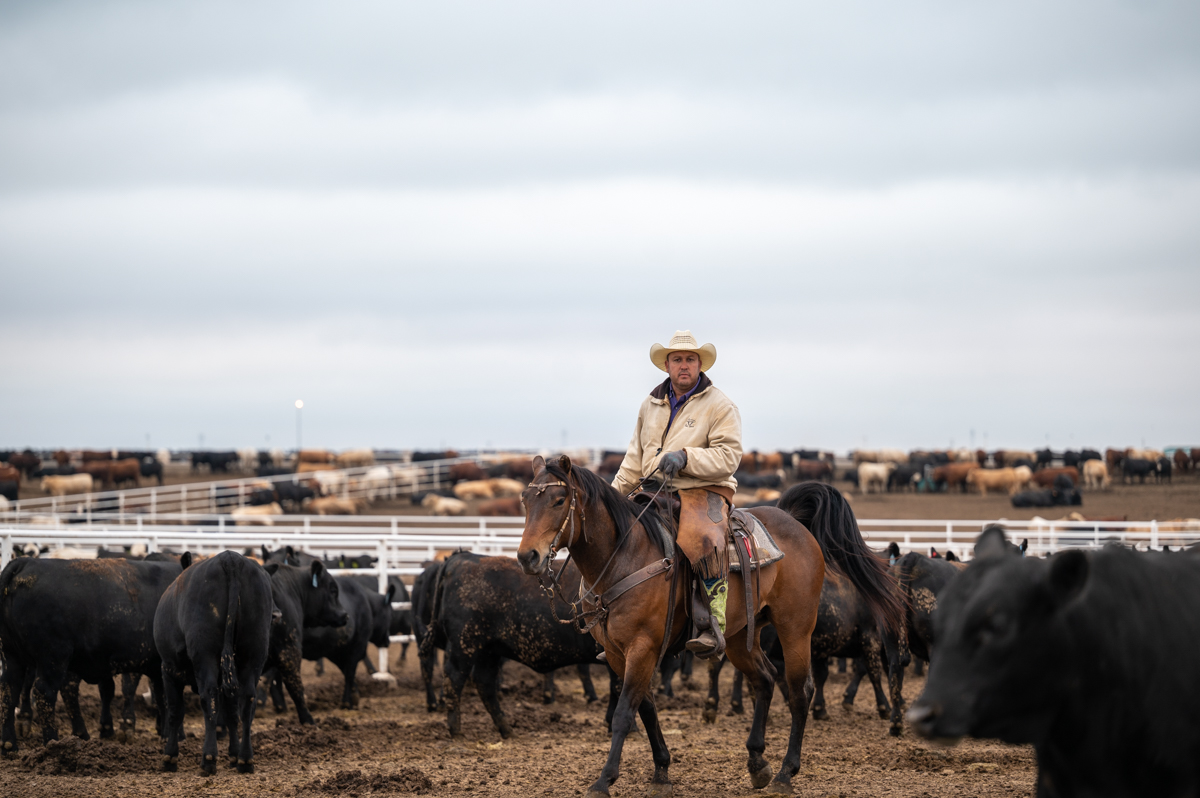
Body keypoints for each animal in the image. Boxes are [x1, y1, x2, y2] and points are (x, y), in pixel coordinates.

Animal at [0, 554, 182, 748]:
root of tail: (26, 562)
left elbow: (162, 700)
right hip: (53, 656)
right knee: (45, 692)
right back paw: (52, 742)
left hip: (12, 655)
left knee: (9, 689)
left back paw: (9, 744)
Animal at [153, 552, 273, 772]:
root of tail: (230, 558)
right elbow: (231, 713)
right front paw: (233, 754)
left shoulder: (168, 668)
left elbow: (175, 711)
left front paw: (170, 756)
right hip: (255, 651)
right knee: (246, 701)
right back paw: (245, 759)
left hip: (205, 653)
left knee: (209, 697)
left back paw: (208, 758)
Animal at [417, 552, 614, 739]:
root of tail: (460, 558)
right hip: (464, 645)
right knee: (454, 679)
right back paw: (456, 729)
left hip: (488, 652)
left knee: (484, 683)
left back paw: (506, 729)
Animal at [516, 458, 902, 796]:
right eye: (525, 500)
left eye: (559, 500)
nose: (527, 556)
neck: (625, 557)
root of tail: (793, 521)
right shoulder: (615, 652)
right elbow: (646, 708)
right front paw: (661, 771)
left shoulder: (643, 647)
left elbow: (625, 713)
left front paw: (604, 780)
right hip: (739, 637)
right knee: (764, 679)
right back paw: (757, 761)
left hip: (796, 628)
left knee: (799, 691)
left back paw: (785, 773)